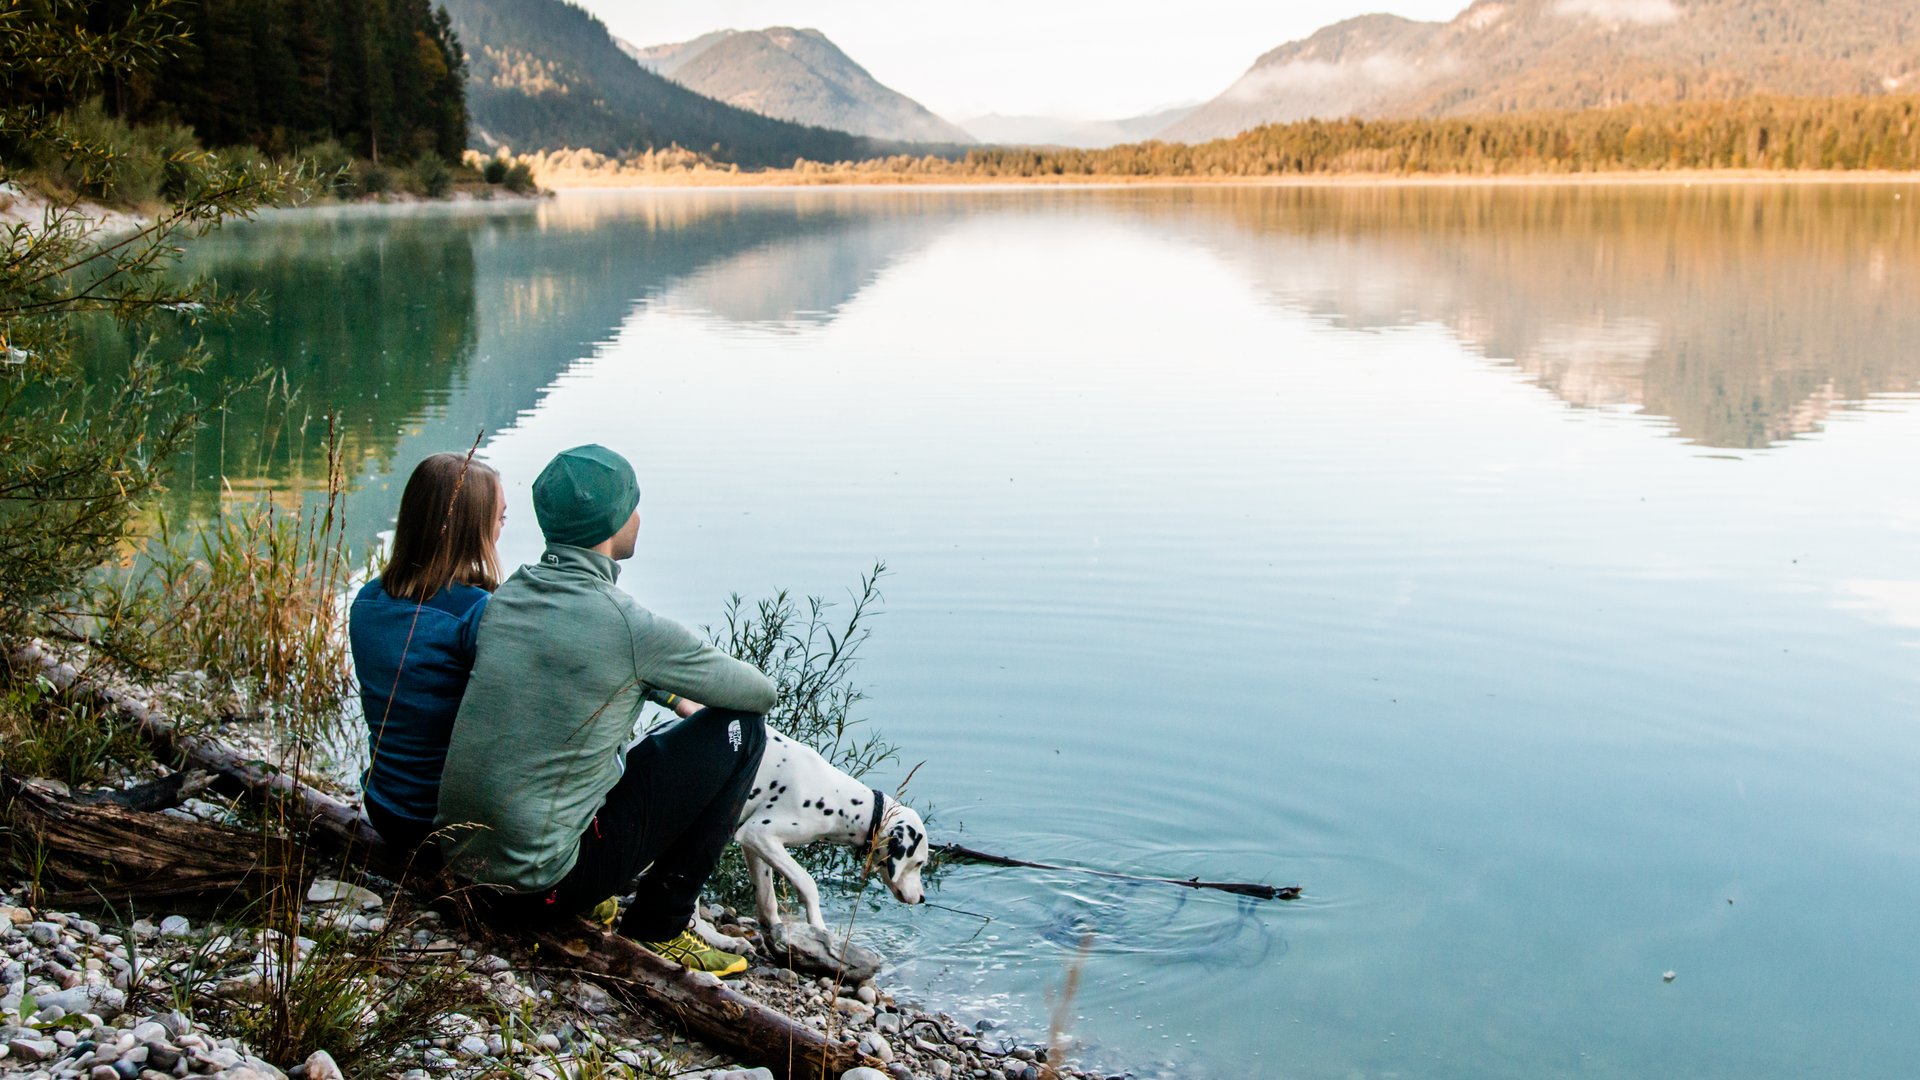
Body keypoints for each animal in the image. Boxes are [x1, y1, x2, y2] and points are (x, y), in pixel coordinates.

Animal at [691, 726, 929, 945]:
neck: (837, 797)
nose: (922, 898)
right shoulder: (759, 834)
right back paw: (717, 940)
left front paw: (776, 928)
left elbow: (767, 896)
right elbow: (808, 883)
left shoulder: (753, 846)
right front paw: (818, 926)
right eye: (918, 863)